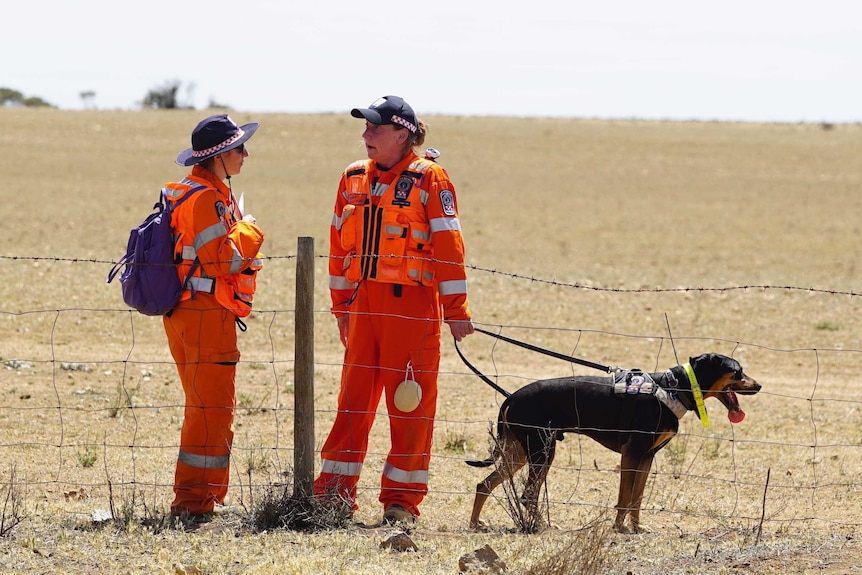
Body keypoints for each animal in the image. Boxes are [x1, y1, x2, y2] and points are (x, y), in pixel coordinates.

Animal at [470, 354, 760, 532]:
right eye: (738, 372)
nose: (758, 386)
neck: (673, 388)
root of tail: (511, 397)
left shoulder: (646, 457)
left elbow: (636, 499)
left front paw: (637, 527)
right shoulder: (631, 454)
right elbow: (624, 497)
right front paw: (619, 528)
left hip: (519, 453)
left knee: (483, 485)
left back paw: (475, 524)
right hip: (542, 452)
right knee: (528, 495)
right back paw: (542, 526)